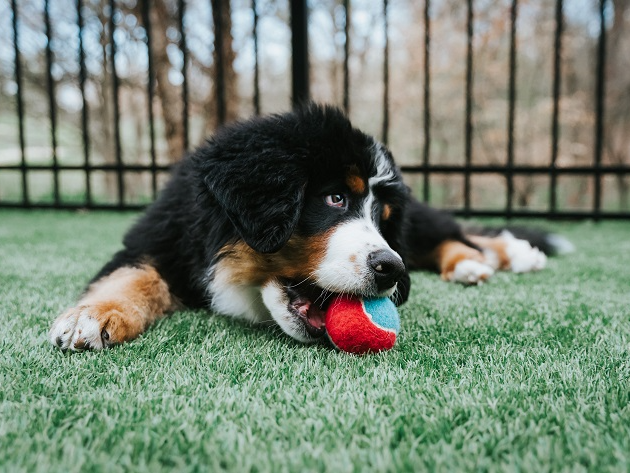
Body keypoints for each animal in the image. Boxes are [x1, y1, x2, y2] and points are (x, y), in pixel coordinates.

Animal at [47, 102, 564, 350]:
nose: (390, 269)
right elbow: (134, 274)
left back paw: (495, 258)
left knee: (451, 234)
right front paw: (91, 316)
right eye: (335, 198)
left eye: (381, 219)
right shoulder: (160, 235)